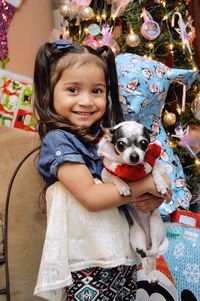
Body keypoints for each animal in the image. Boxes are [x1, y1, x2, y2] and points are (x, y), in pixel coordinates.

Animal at [97, 119, 170, 282]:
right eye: (120, 144)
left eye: (143, 143)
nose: (134, 156)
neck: (132, 170)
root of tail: (148, 241)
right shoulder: (105, 174)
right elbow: (114, 177)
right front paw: (123, 186)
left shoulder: (159, 166)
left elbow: (155, 170)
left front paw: (160, 185)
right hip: (137, 237)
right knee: (146, 256)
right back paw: (148, 270)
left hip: (155, 224)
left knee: (154, 251)